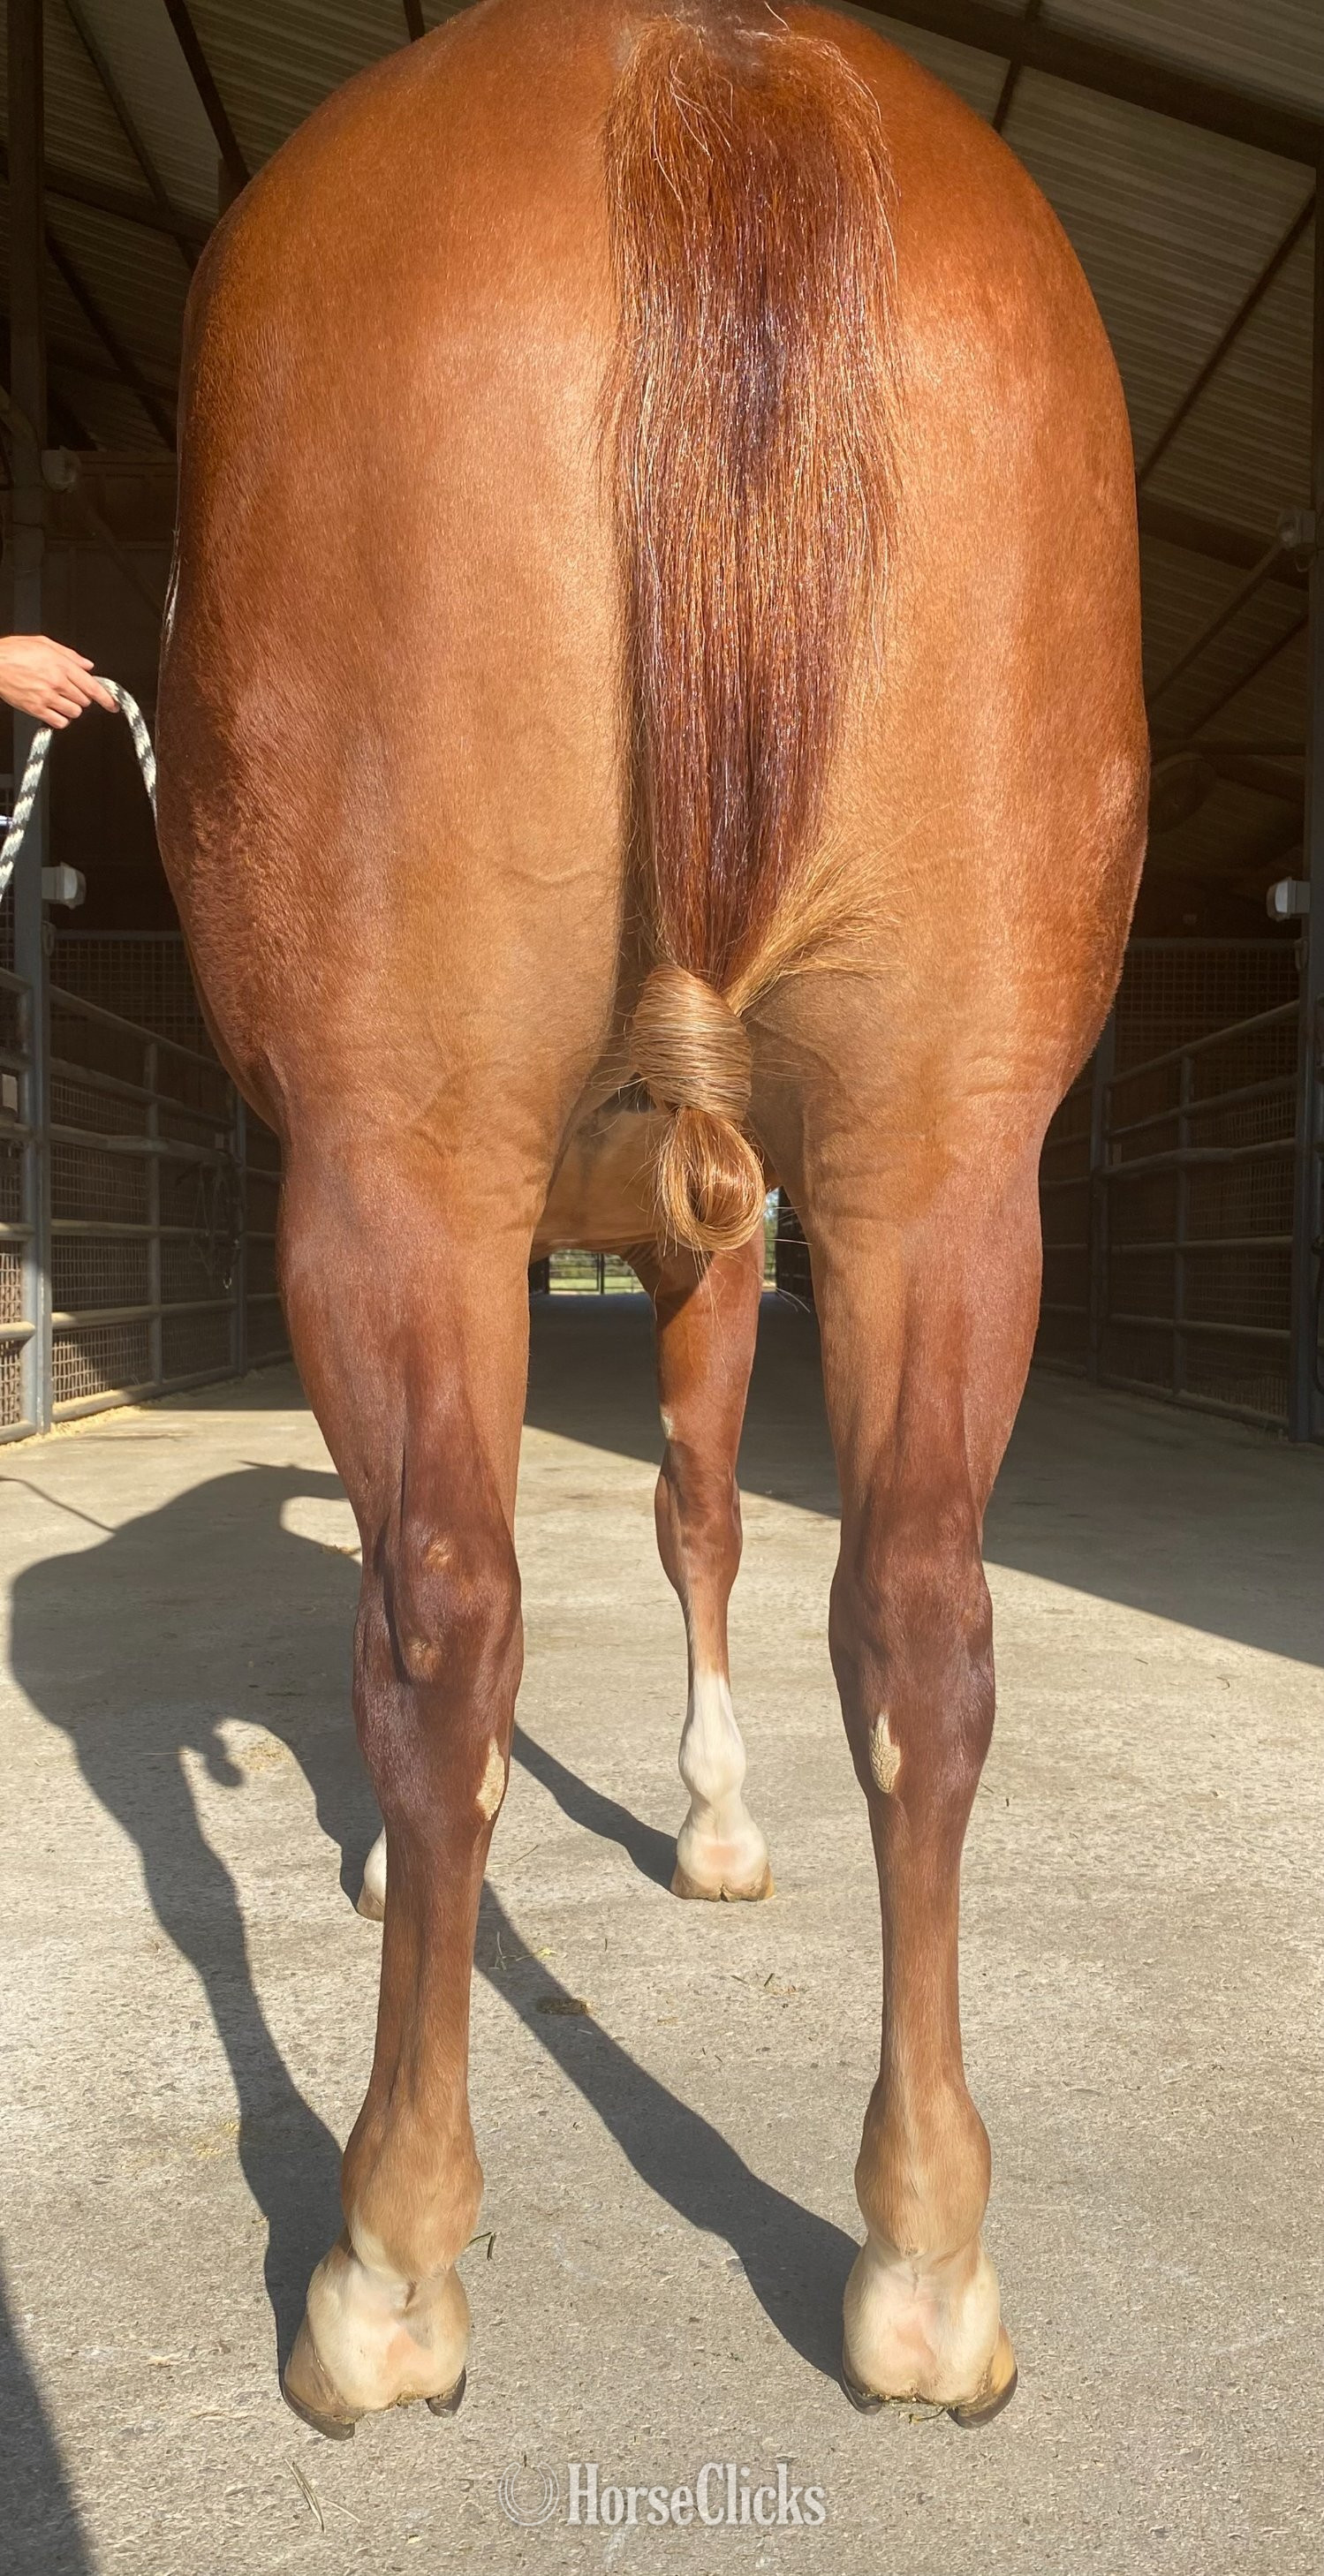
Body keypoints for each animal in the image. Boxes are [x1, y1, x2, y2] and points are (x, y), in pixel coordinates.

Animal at [156, 0, 1146, 2437]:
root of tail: (711, 76)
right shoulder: (727, 1227)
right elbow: (703, 1516)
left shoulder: (599, 1230)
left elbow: (579, 1541)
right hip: (941, 1158)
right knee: (920, 1622)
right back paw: (923, 2263)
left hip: (399, 1163)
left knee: (440, 1620)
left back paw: (384, 2264)